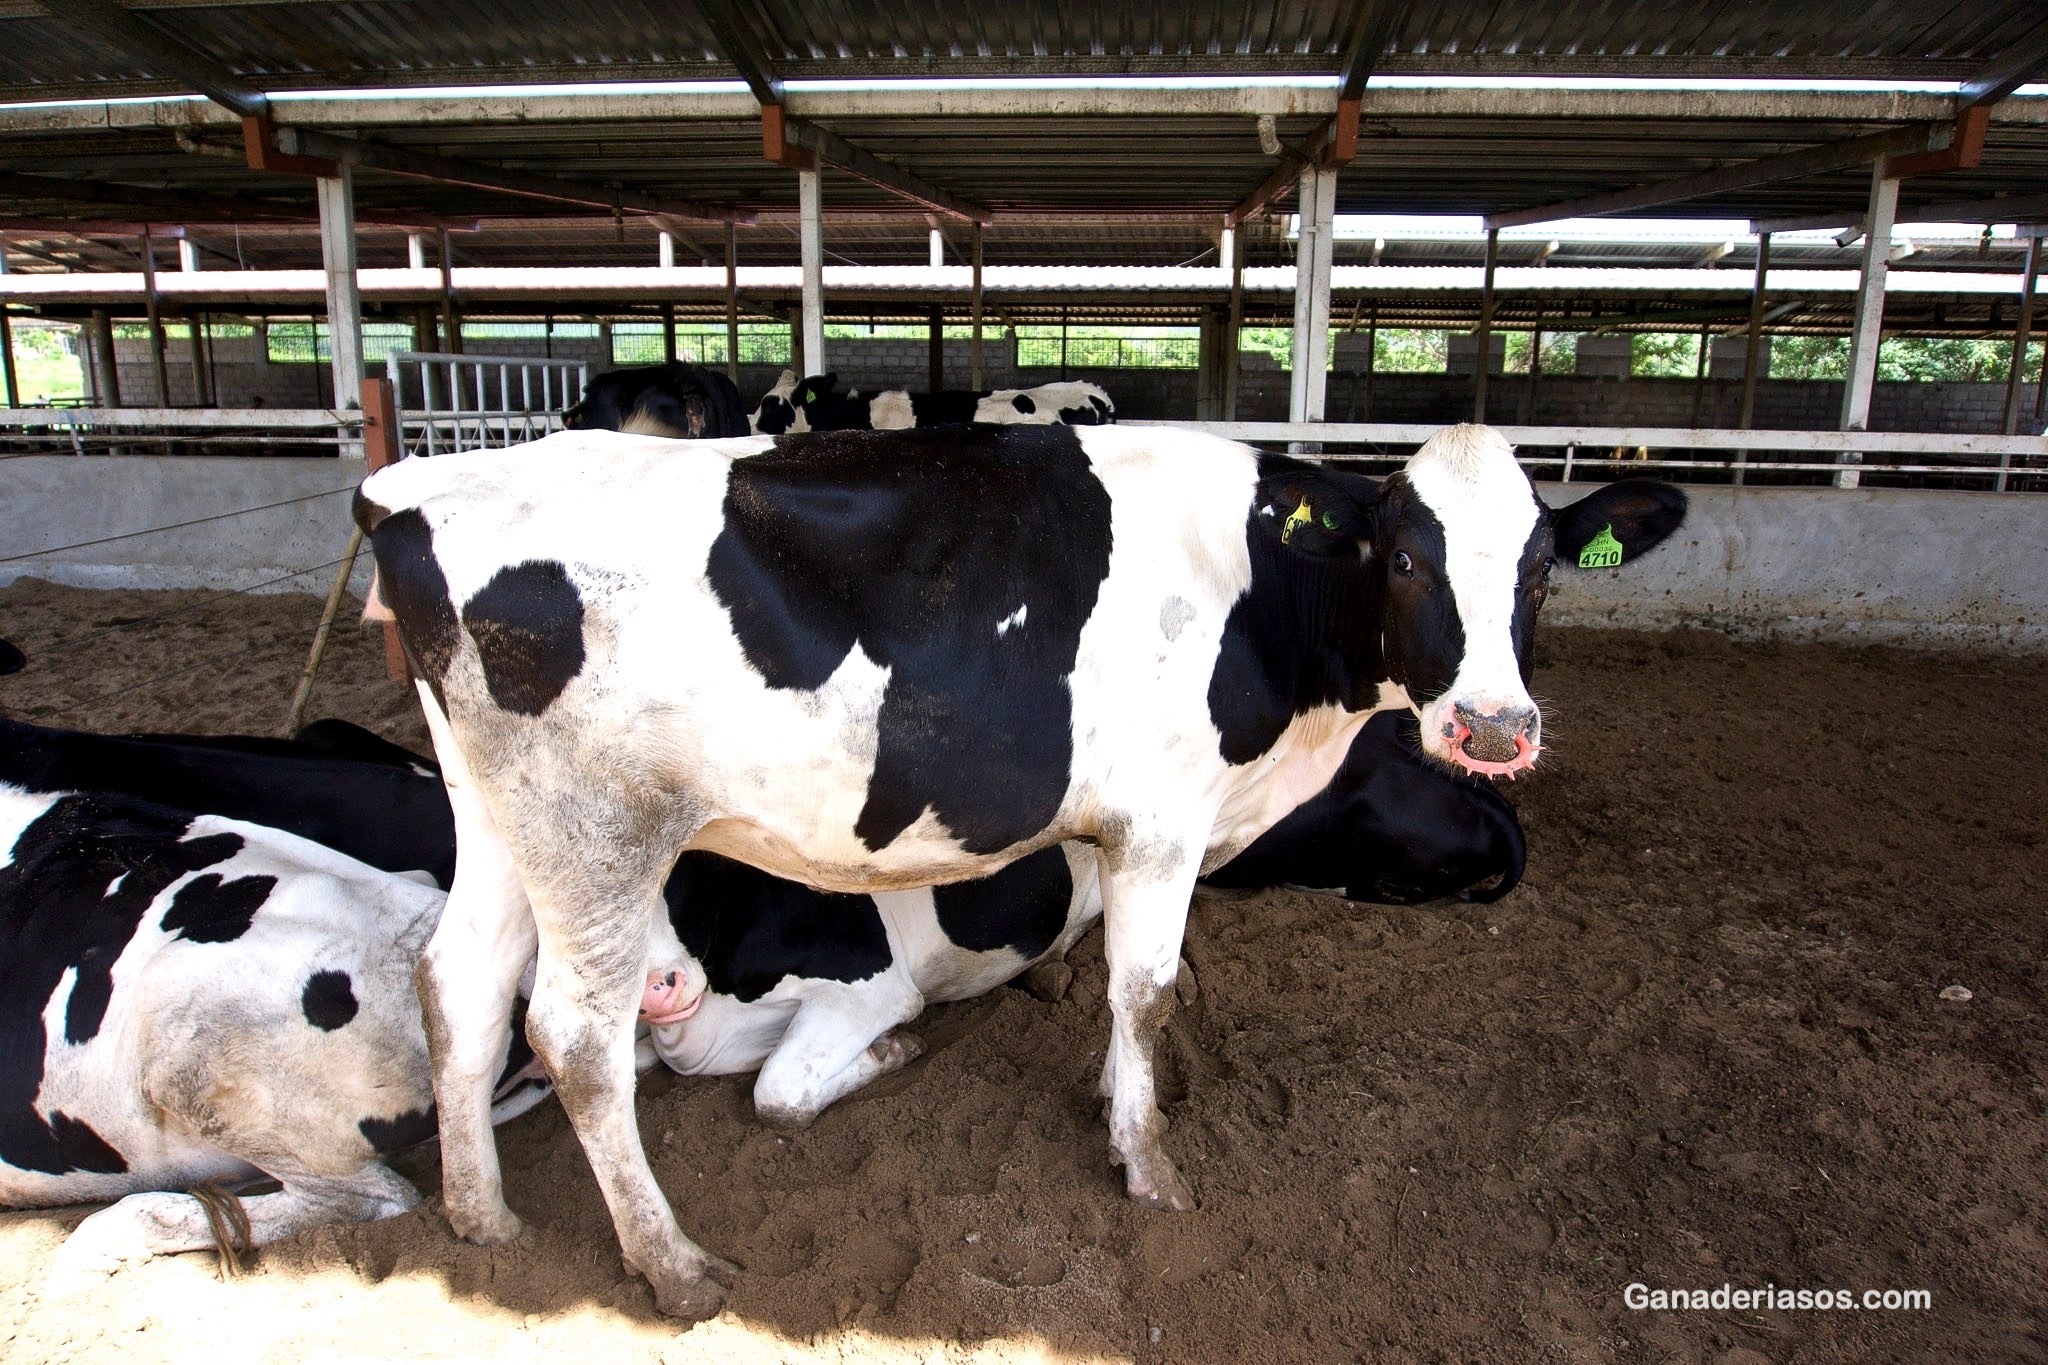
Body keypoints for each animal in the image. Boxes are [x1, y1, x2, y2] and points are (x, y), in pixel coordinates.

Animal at [360, 421, 1687, 1317]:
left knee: (457, 981)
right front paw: (1148, 1169)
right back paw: (670, 1265)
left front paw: (1112, 1107)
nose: (1492, 729)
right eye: (1407, 561)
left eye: (1540, 572)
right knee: (574, 1038)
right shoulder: (1161, 821)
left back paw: (480, 1215)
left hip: (500, 819)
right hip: (599, 831)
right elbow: (1145, 991)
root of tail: (421, 483)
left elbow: (1115, 988)